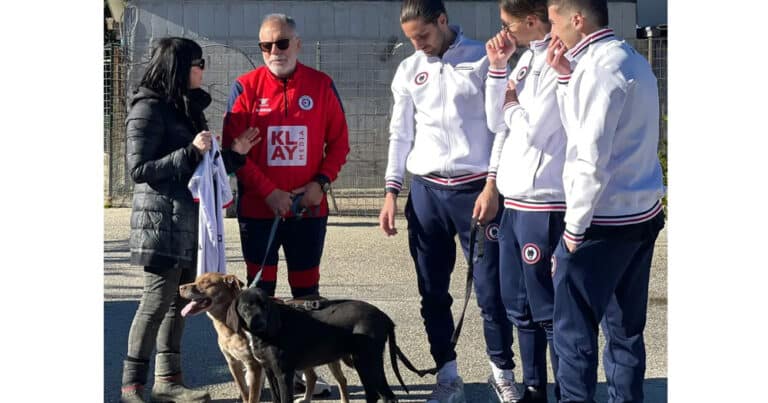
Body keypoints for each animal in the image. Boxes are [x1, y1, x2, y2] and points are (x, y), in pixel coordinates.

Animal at [178, 274, 350, 403]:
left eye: (206, 283)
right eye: (197, 279)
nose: (181, 287)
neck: (229, 327)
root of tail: (324, 299)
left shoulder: (254, 365)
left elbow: (253, 397)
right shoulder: (233, 363)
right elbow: (245, 392)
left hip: (328, 356)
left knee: (342, 380)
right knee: (312, 377)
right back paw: (306, 399)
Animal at [230, 288, 426, 402]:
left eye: (265, 306)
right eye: (246, 307)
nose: (259, 324)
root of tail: (384, 317)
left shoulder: (284, 373)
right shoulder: (270, 371)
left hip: (367, 361)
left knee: (386, 396)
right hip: (364, 363)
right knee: (376, 394)